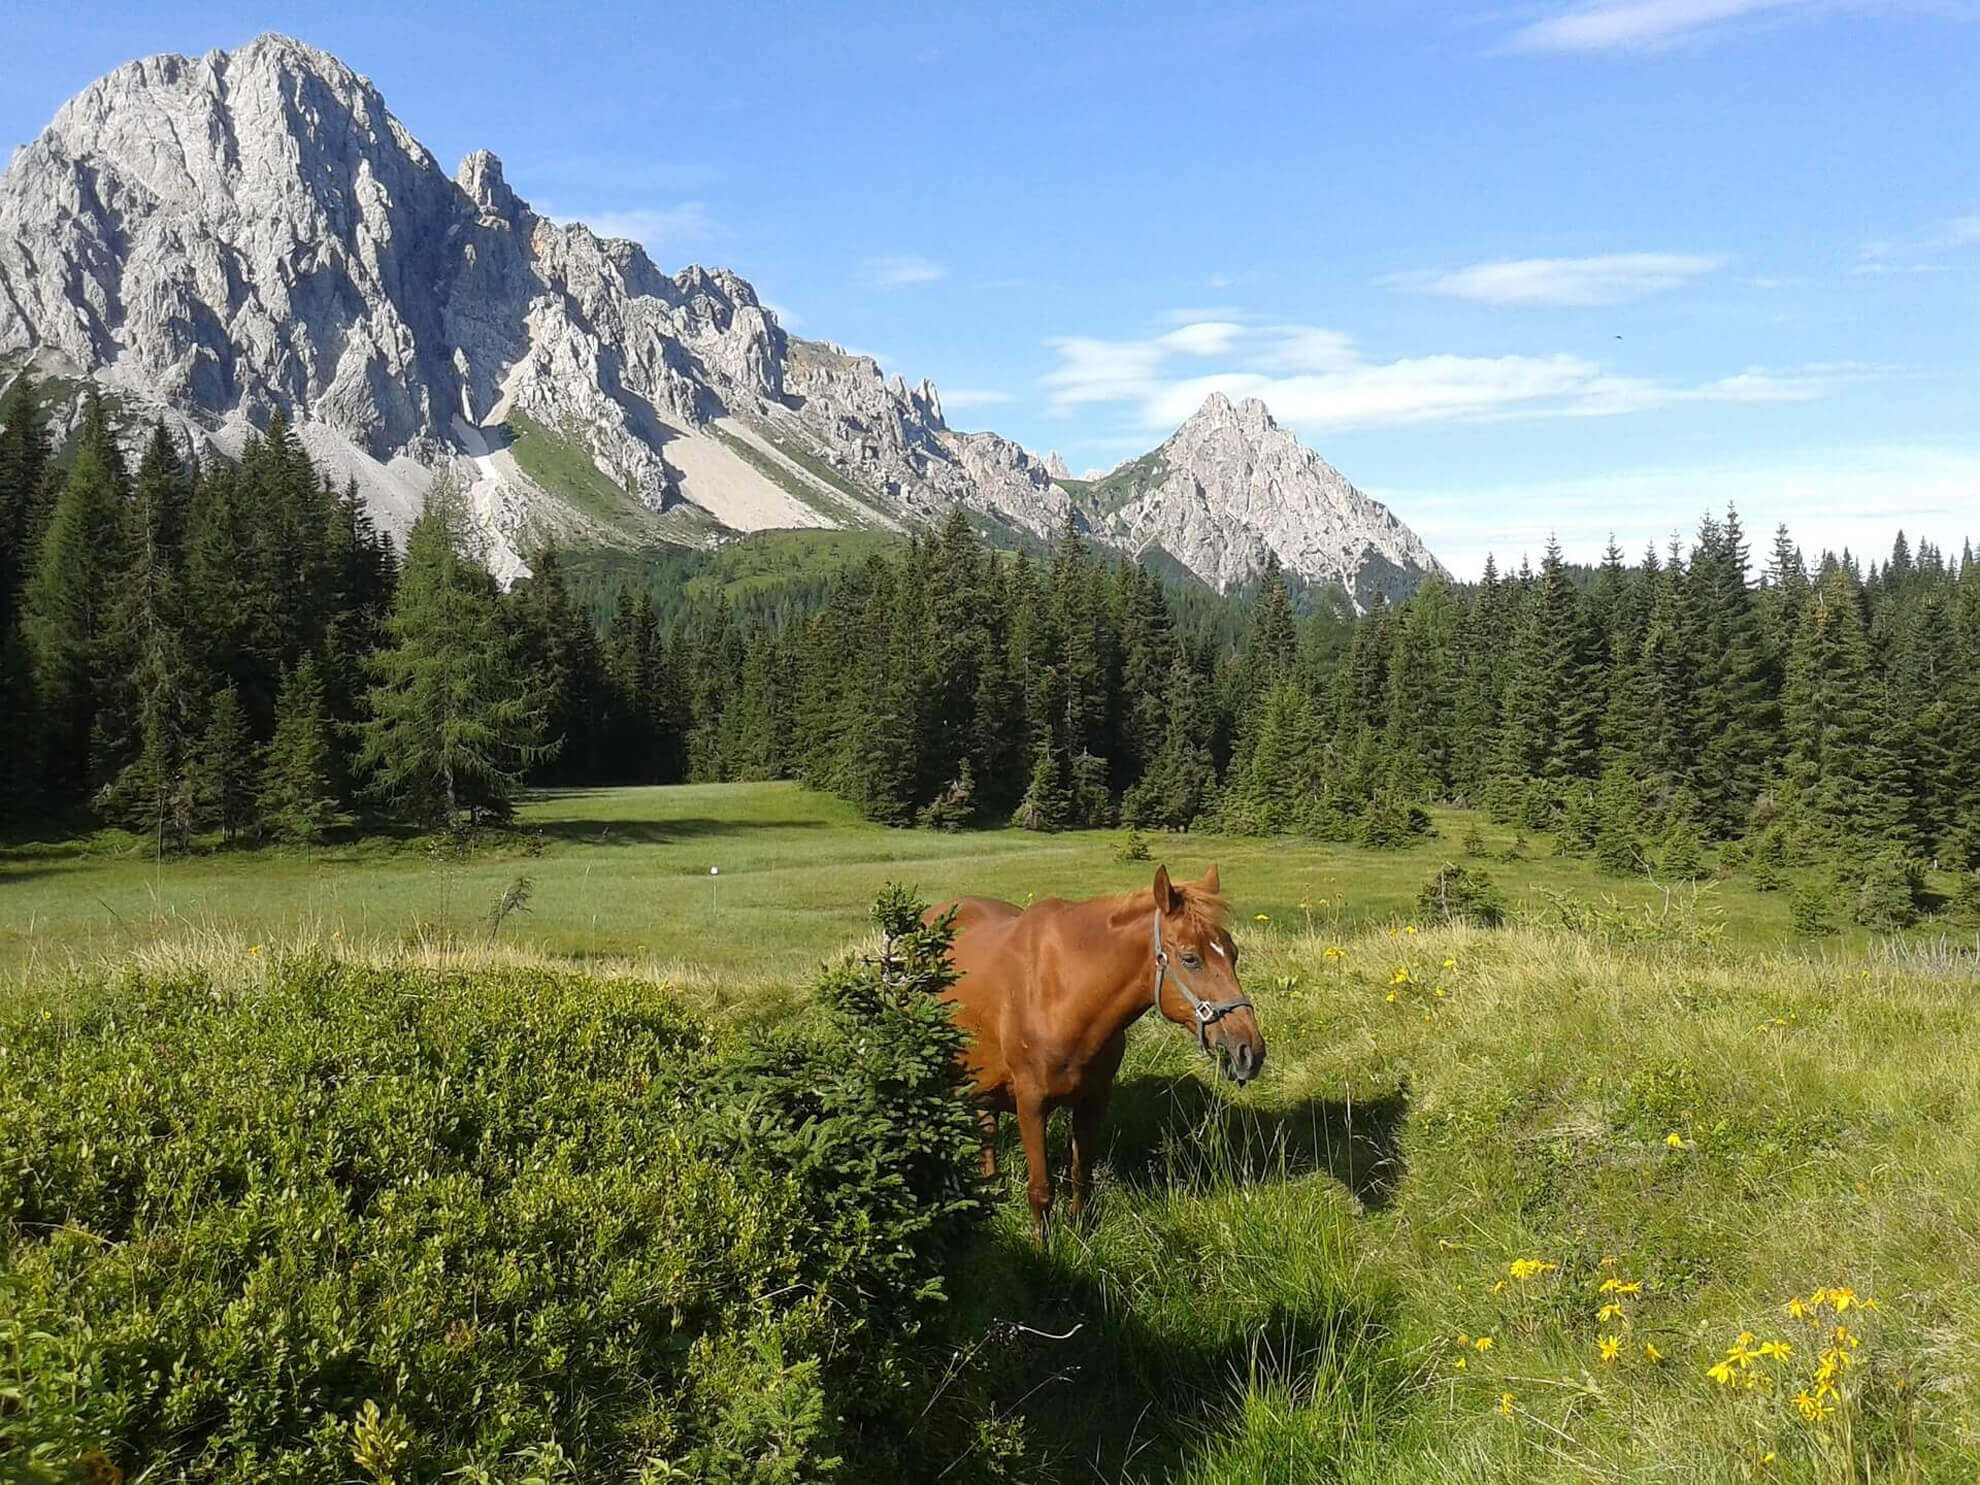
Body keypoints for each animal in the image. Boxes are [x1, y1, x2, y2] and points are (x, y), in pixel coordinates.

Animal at [926, 867, 1267, 1251]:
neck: (1062, 991)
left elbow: (1081, 1174)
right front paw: (1043, 1251)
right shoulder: (1031, 1104)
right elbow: (1040, 1190)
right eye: (1191, 958)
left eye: (1233, 954)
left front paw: (1079, 1232)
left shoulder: (1093, 1100)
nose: (1249, 1050)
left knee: (986, 1130)